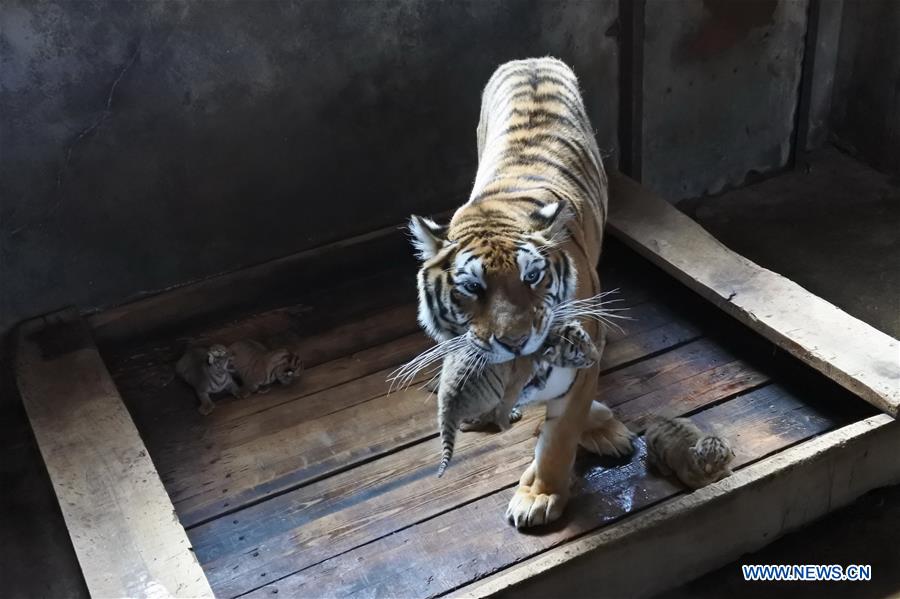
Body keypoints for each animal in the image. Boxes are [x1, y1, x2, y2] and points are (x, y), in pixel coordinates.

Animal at [408, 57, 632, 528]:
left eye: (533, 277)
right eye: (471, 287)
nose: (515, 342)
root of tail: (532, 60)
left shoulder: (582, 351)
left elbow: (559, 435)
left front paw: (540, 494)